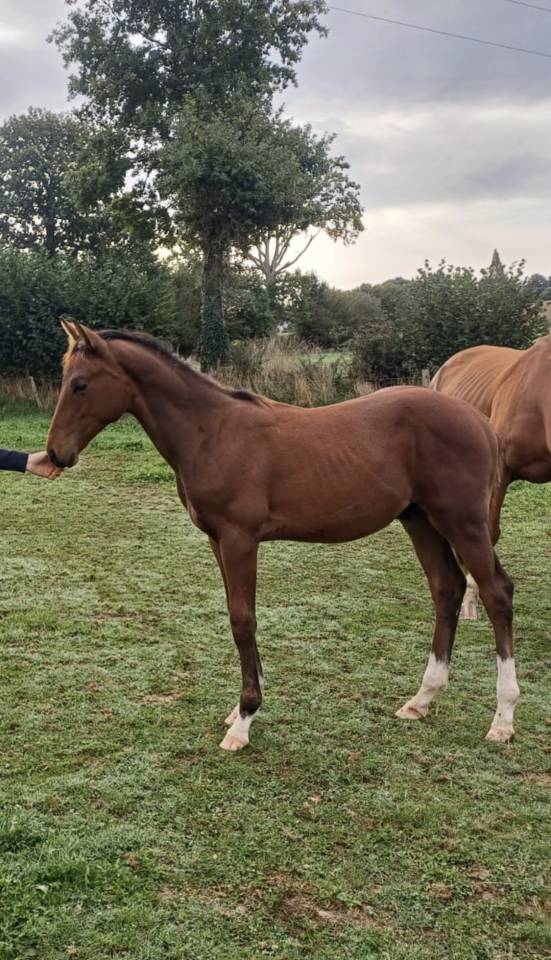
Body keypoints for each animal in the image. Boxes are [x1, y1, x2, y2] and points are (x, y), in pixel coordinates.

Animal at [47, 319, 519, 750]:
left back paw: (502, 719)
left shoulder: (239, 539)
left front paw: (244, 719)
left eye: (80, 384)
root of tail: (482, 423)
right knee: (446, 588)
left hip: (464, 522)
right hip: (420, 519)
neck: (212, 432)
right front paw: (242, 708)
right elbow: (238, 616)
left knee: (496, 593)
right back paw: (421, 700)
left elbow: (242, 620)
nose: (55, 454)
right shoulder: (217, 540)